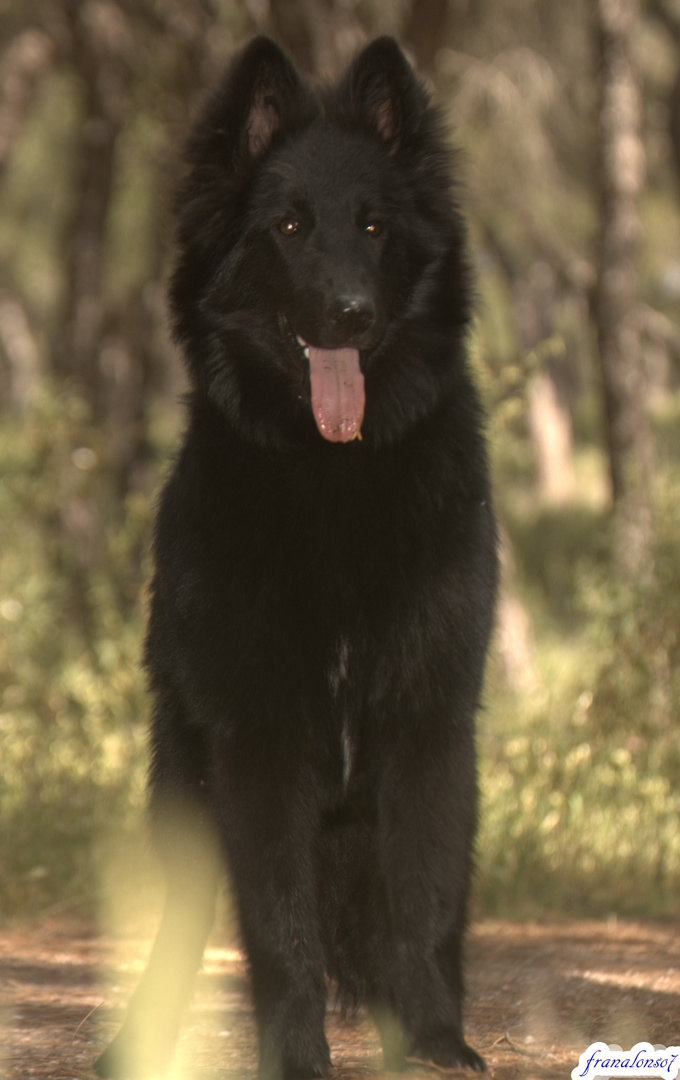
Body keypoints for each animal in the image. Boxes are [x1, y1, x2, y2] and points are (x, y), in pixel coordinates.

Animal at [96, 33, 498, 1080]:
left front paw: (435, 1039)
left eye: (373, 225)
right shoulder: (260, 743)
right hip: (185, 784)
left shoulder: (428, 725)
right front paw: (298, 1051)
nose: (350, 313)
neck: (335, 479)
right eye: (287, 225)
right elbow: (280, 927)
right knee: (186, 924)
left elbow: (427, 904)